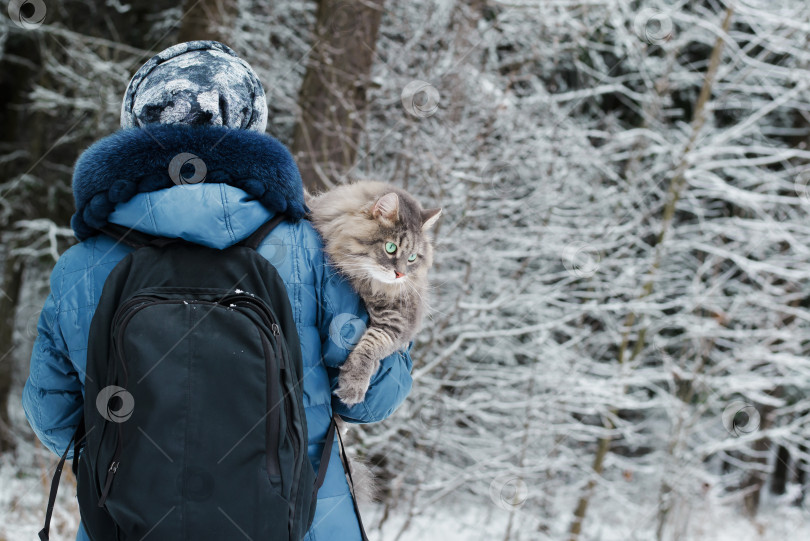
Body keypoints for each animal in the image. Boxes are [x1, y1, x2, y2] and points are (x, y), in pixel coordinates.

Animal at [304, 181, 442, 404]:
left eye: (412, 257)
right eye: (391, 247)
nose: (400, 274)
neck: (367, 281)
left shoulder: (400, 320)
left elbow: (373, 343)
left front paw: (354, 383)